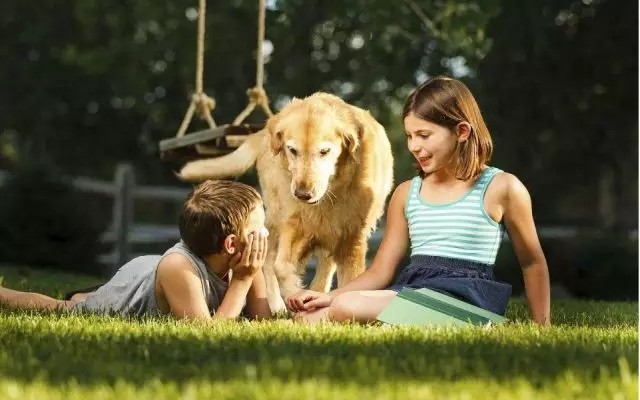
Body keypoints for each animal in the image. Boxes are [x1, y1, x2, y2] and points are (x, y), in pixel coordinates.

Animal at [178, 92, 392, 310]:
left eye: (324, 151)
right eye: (292, 150)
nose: (302, 194)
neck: (329, 196)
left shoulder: (352, 237)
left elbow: (350, 280)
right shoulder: (294, 223)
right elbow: (280, 267)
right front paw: (294, 292)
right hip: (273, 215)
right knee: (269, 258)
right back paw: (278, 305)